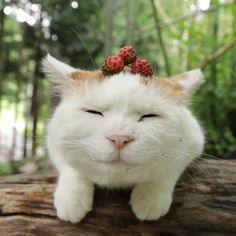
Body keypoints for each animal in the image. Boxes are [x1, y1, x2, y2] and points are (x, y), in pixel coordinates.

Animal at [42, 54, 205, 223]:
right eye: (93, 112)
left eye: (149, 116)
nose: (119, 138)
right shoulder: (53, 139)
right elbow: (70, 166)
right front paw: (72, 198)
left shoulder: (194, 140)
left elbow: (169, 167)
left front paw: (151, 197)